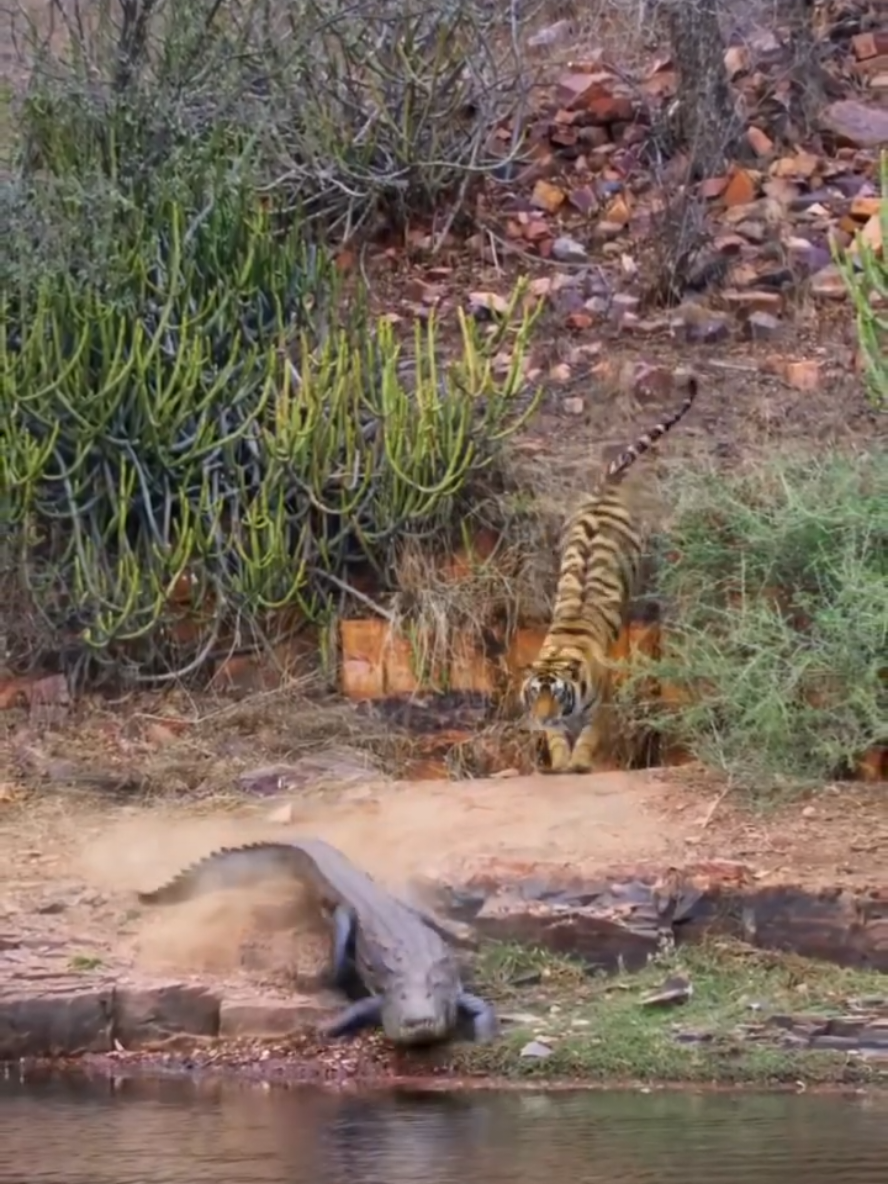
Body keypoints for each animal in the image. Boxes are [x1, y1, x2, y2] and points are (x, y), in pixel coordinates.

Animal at [519, 377, 699, 774]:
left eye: (555, 695)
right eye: (534, 694)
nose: (542, 717)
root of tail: (608, 484)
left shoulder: (598, 710)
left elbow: (588, 738)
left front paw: (578, 764)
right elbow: (557, 740)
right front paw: (559, 763)